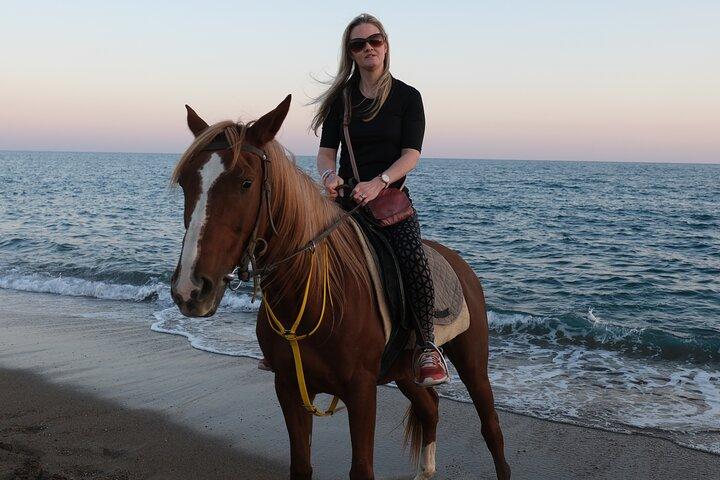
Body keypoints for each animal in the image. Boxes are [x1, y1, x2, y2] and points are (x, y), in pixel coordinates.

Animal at [169, 95, 511, 480]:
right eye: (185, 183)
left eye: (245, 183)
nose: (190, 288)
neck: (316, 294)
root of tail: (460, 264)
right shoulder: (288, 388)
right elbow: (301, 466)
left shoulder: (361, 391)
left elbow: (361, 469)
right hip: (405, 373)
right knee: (430, 407)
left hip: (472, 363)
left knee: (491, 427)